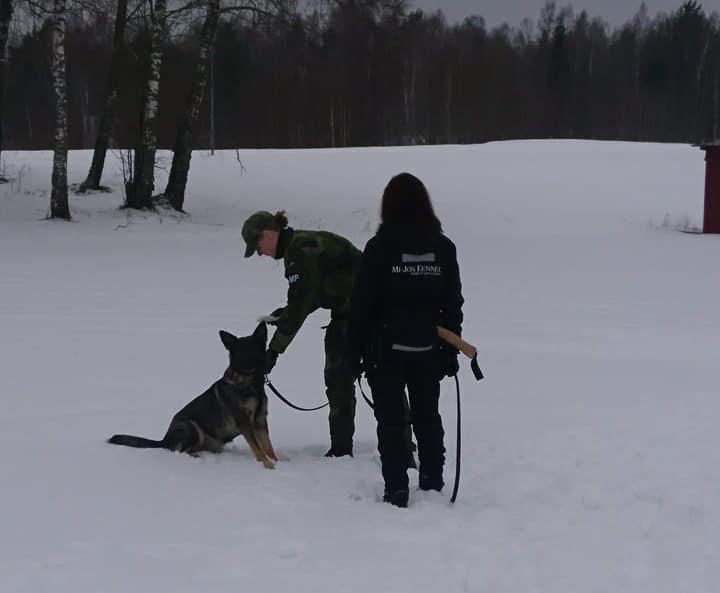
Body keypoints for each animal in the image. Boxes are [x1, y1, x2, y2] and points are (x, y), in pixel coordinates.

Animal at [107, 324, 278, 468]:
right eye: (244, 352)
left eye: (258, 348)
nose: (263, 364)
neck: (251, 384)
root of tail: (164, 440)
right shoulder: (245, 422)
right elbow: (258, 448)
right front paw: (268, 466)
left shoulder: (260, 420)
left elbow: (267, 445)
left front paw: (277, 462)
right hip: (190, 426)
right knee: (181, 450)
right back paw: (196, 458)